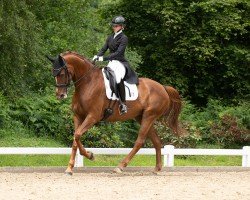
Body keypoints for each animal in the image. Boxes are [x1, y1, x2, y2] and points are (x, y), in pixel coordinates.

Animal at [47, 50, 182, 174]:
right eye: (53, 73)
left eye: (62, 73)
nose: (60, 95)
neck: (88, 82)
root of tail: (163, 87)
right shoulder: (78, 116)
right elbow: (75, 139)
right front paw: (70, 167)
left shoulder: (92, 117)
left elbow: (78, 135)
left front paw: (90, 155)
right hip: (142, 117)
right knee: (157, 142)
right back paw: (157, 168)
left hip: (149, 116)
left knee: (140, 141)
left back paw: (120, 166)